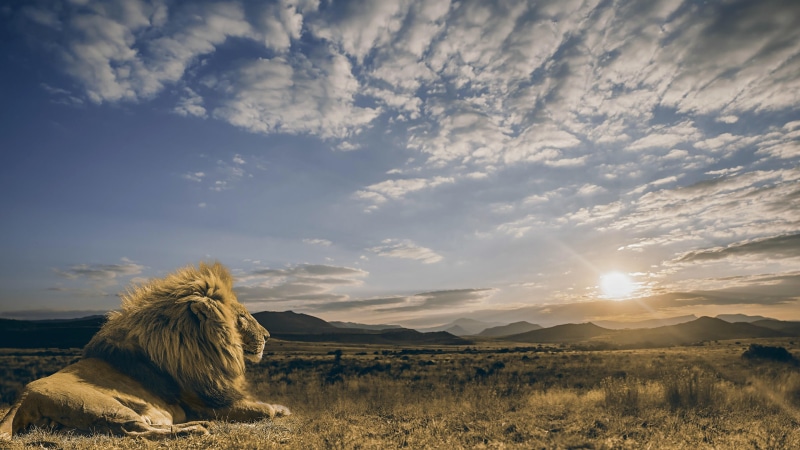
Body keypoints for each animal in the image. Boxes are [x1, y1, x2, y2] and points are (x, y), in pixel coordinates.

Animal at [0, 262, 289, 440]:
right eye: (241, 317)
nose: (268, 336)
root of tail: (21, 398)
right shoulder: (204, 404)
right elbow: (261, 410)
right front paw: (275, 409)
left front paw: (281, 407)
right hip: (101, 407)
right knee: (136, 430)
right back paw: (197, 429)